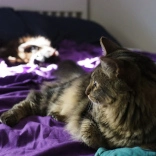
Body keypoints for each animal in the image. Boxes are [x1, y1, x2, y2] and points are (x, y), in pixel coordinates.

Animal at [0, 37, 156, 151]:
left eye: (96, 84)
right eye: (92, 81)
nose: (86, 92)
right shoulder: (87, 115)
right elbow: (90, 136)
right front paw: (104, 142)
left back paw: (56, 116)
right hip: (53, 95)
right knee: (31, 100)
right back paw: (8, 117)